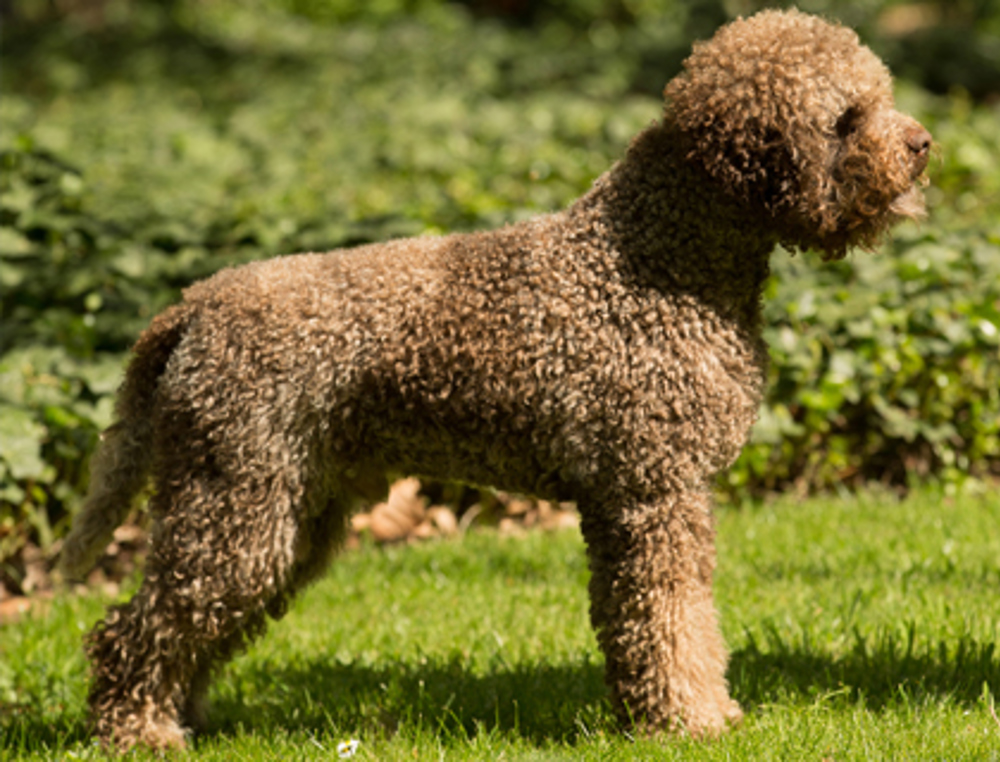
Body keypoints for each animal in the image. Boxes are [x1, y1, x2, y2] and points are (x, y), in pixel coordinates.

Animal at [62, 8, 932, 752]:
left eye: (880, 97)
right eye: (847, 117)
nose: (923, 144)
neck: (657, 259)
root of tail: (195, 304)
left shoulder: (645, 499)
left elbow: (659, 622)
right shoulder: (652, 494)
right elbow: (670, 619)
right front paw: (691, 719)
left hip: (285, 513)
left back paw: (182, 718)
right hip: (236, 504)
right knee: (132, 629)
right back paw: (138, 731)